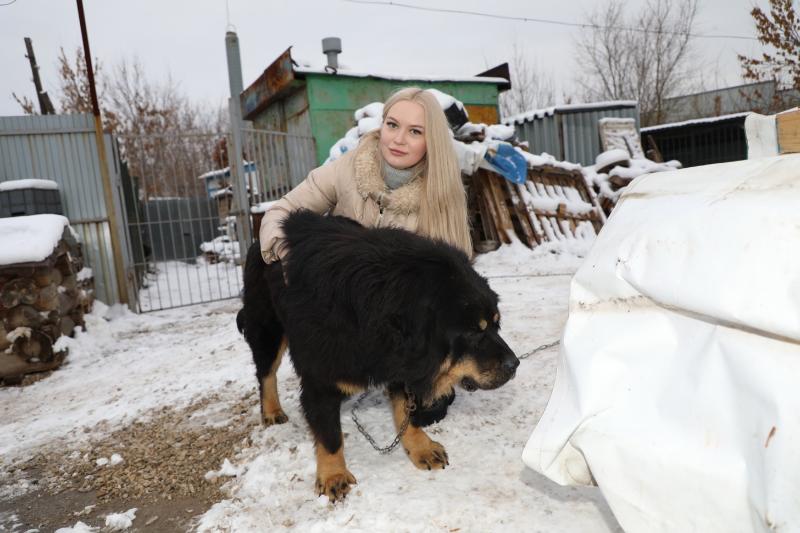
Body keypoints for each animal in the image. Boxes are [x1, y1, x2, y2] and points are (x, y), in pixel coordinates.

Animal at [238, 210, 520, 500]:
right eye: (474, 332)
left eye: (495, 324)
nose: (515, 364)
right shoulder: (320, 376)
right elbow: (330, 435)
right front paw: (333, 475)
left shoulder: (400, 362)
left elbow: (405, 411)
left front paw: (420, 446)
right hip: (268, 327)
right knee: (266, 373)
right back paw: (272, 411)